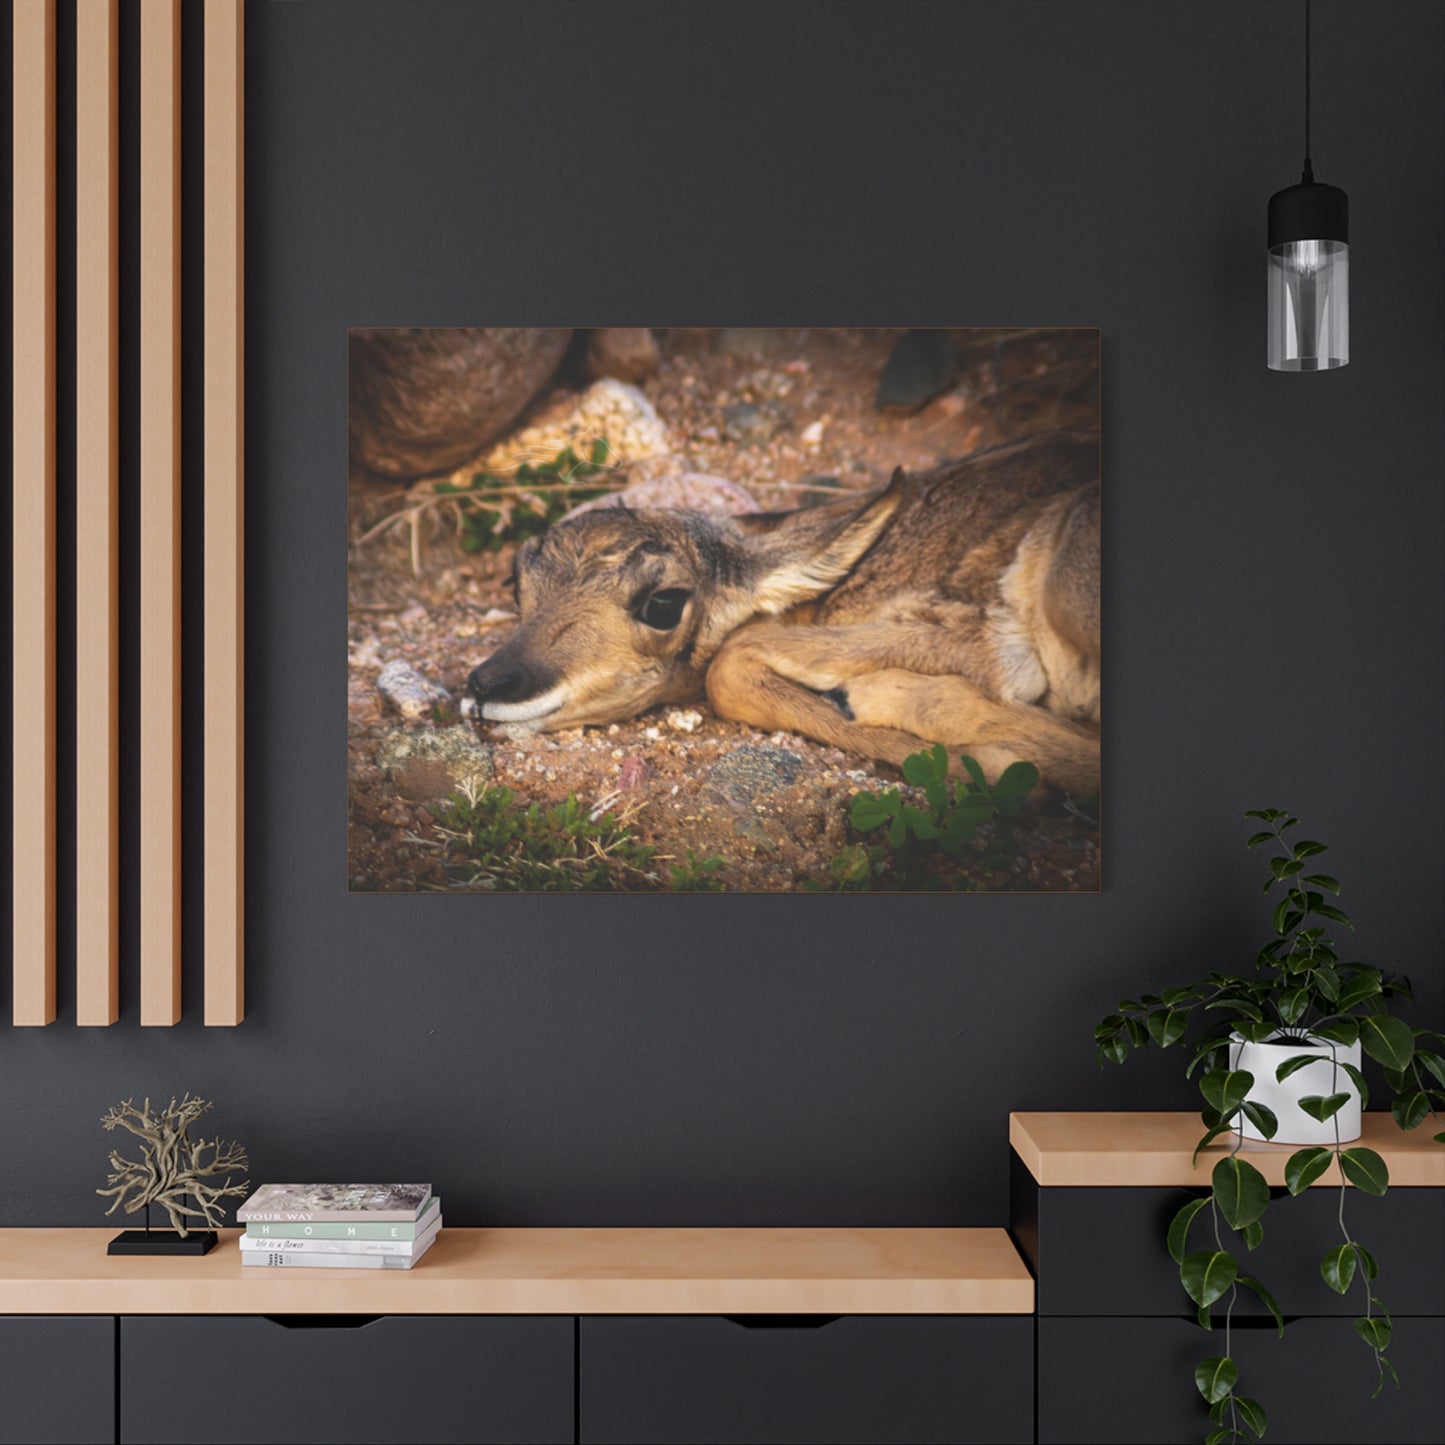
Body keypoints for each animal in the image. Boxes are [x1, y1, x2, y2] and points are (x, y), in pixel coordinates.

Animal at [466, 429, 1100, 794]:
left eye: (662, 603)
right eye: (517, 580)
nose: (487, 684)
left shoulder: (986, 645)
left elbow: (730, 662)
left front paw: (995, 765)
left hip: (1067, 589)